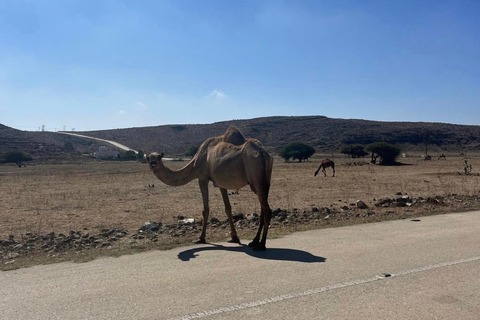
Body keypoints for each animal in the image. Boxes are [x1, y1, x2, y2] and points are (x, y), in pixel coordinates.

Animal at [145, 126, 274, 251]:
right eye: (148, 158)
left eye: (159, 157)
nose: (153, 163)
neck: (194, 163)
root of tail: (264, 153)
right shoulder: (221, 183)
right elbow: (228, 208)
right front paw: (234, 238)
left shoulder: (202, 178)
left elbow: (205, 209)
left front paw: (201, 238)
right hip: (264, 181)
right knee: (263, 208)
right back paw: (254, 241)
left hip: (256, 178)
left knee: (267, 210)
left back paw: (261, 245)